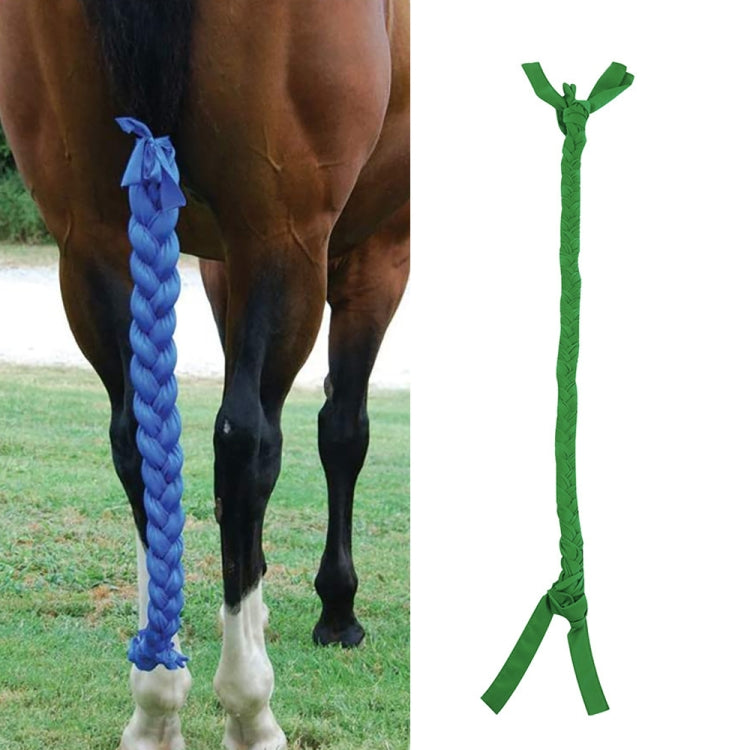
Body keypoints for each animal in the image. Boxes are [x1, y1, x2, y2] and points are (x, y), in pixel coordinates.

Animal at [0, 1, 409, 748]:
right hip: (283, 236)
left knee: (138, 442)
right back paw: (249, 705)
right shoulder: (382, 251)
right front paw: (337, 608)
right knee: (247, 443)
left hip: (91, 239)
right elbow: (343, 431)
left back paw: (156, 701)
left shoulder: (218, 264)